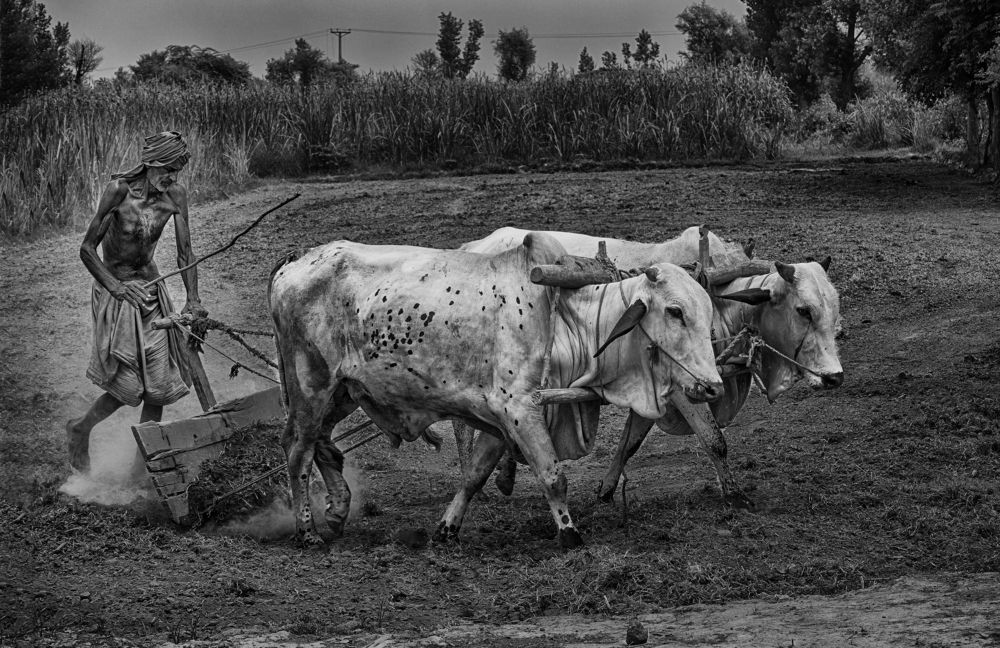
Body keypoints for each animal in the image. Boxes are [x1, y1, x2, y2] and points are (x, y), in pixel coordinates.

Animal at [268, 233, 723, 548]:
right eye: (675, 311)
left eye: (706, 309)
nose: (714, 386)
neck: (564, 321)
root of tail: (295, 260)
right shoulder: (519, 408)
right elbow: (553, 476)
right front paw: (569, 533)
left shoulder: (498, 417)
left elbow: (474, 474)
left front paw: (447, 529)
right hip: (311, 384)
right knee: (298, 448)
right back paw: (307, 531)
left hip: (343, 391)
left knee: (322, 443)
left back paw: (339, 508)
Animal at [454, 226, 843, 507]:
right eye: (803, 310)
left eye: (833, 307)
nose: (835, 377)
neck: (717, 303)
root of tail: (474, 245)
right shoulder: (688, 387)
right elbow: (714, 440)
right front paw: (735, 496)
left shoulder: (656, 390)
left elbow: (630, 442)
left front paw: (606, 491)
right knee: (463, 423)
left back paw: (503, 475)